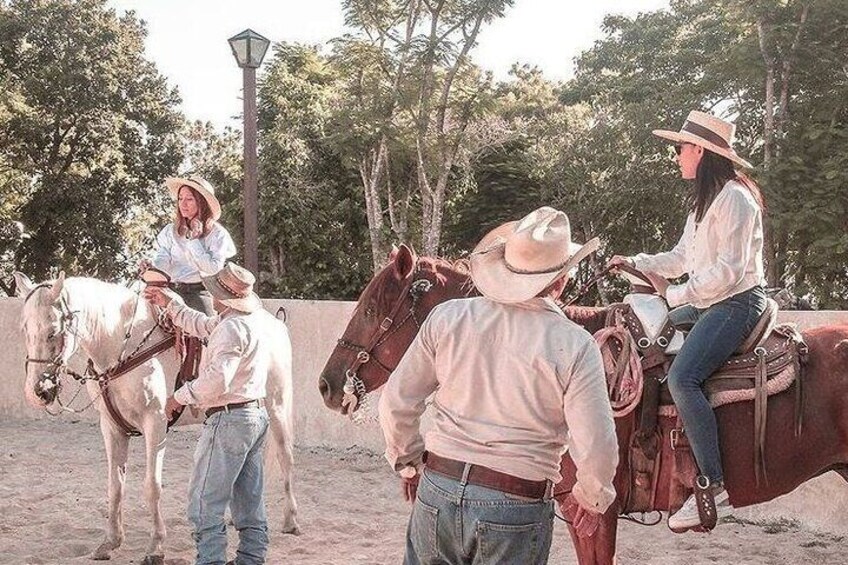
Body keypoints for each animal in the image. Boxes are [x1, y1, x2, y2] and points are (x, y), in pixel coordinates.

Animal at [14, 270, 302, 560]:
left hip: (277, 404)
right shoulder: (111, 427)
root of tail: (273, 323)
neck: (120, 345)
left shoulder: (155, 424)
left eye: (53, 332)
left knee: (285, 456)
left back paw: (291, 521)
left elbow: (152, 486)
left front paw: (156, 547)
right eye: (25, 329)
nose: (38, 391)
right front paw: (110, 542)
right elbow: (115, 486)